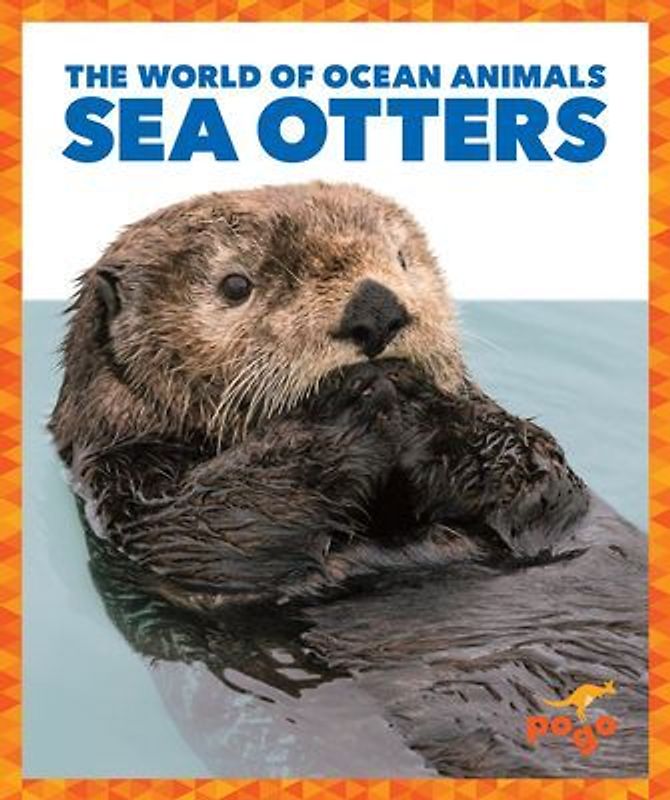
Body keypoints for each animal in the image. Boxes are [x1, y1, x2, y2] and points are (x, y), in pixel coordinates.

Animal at [49, 182, 646, 775]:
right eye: (235, 285)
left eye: (401, 258)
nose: (376, 307)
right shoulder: (129, 493)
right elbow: (211, 530)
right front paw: (357, 400)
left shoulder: (545, 491)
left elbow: (541, 476)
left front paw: (422, 401)